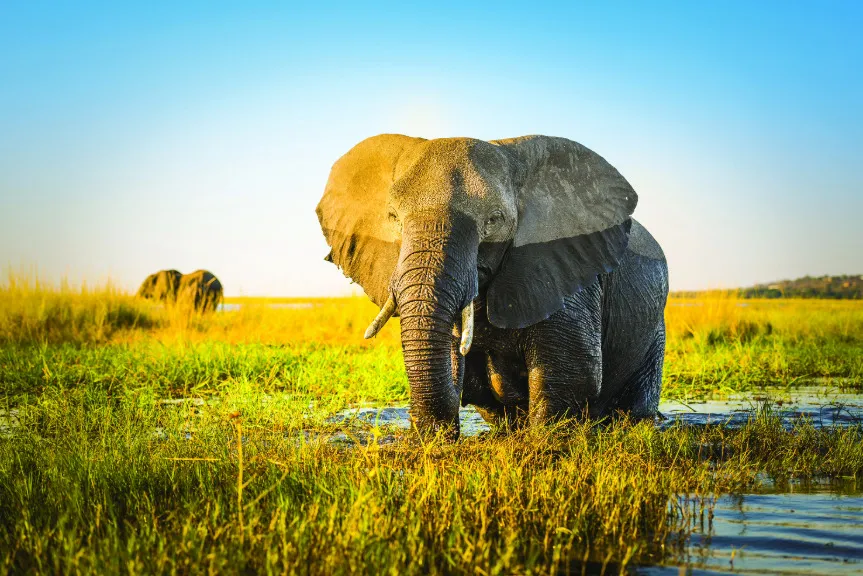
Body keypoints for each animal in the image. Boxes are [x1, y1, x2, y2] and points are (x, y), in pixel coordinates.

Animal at [317, 134, 668, 437]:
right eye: (393, 218)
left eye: (494, 220)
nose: (431, 432)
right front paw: (434, 438)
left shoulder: (564, 266)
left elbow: (573, 372)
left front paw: (543, 443)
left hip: (654, 329)